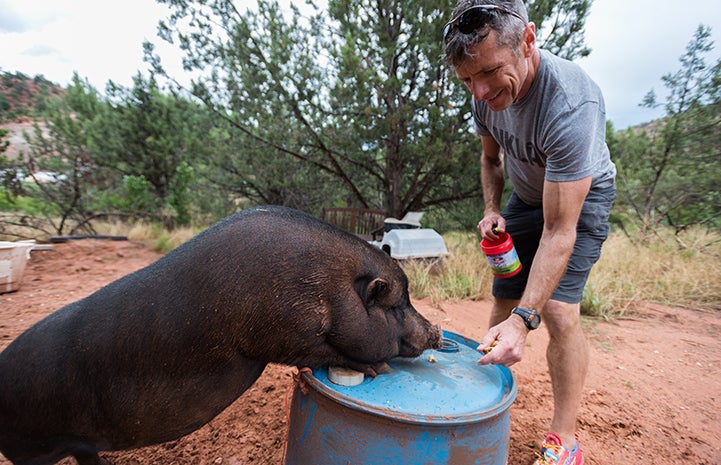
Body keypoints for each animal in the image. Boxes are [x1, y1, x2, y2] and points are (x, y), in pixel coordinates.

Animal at [0, 205, 442, 462]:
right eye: (397, 305)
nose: (436, 331)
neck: (328, 285)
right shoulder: (282, 334)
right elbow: (321, 352)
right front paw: (380, 370)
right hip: (34, 448)